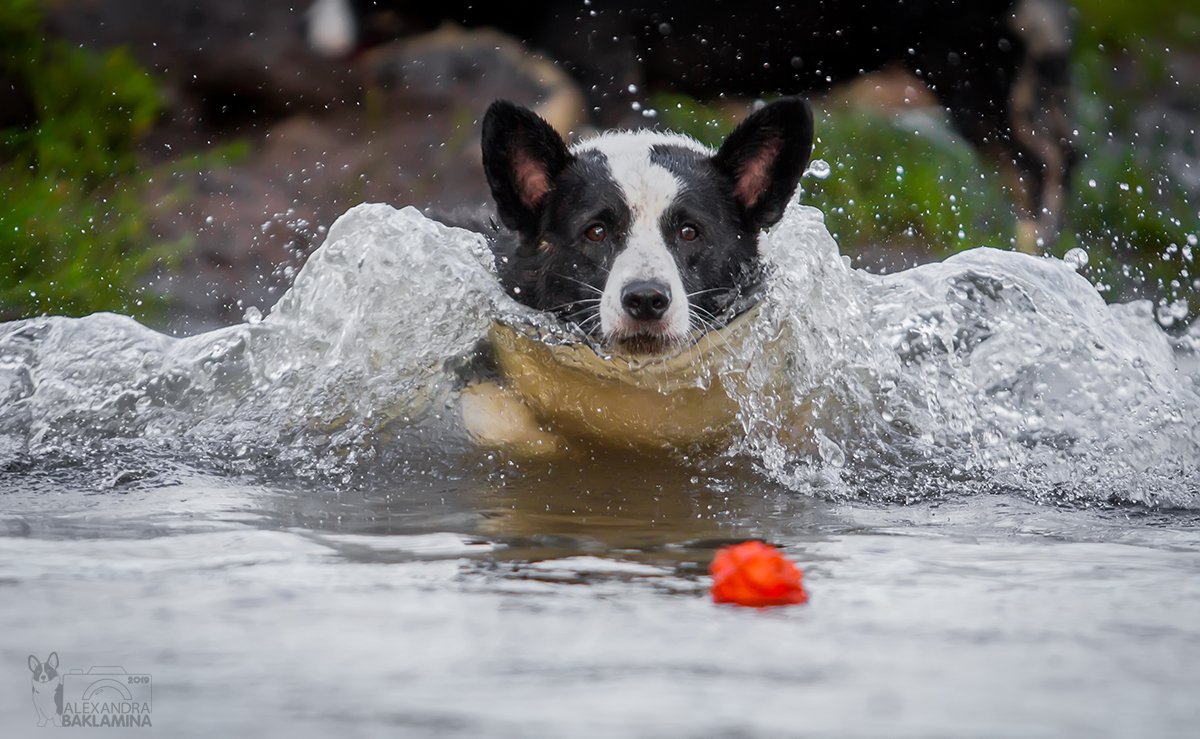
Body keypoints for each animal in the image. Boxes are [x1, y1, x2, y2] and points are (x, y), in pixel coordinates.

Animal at [309, 0, 1080, 249]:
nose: (317, 39)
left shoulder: (604, 44)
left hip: (967, 61)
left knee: (1035, 163)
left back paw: (1033, 248)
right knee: (1056, 149)